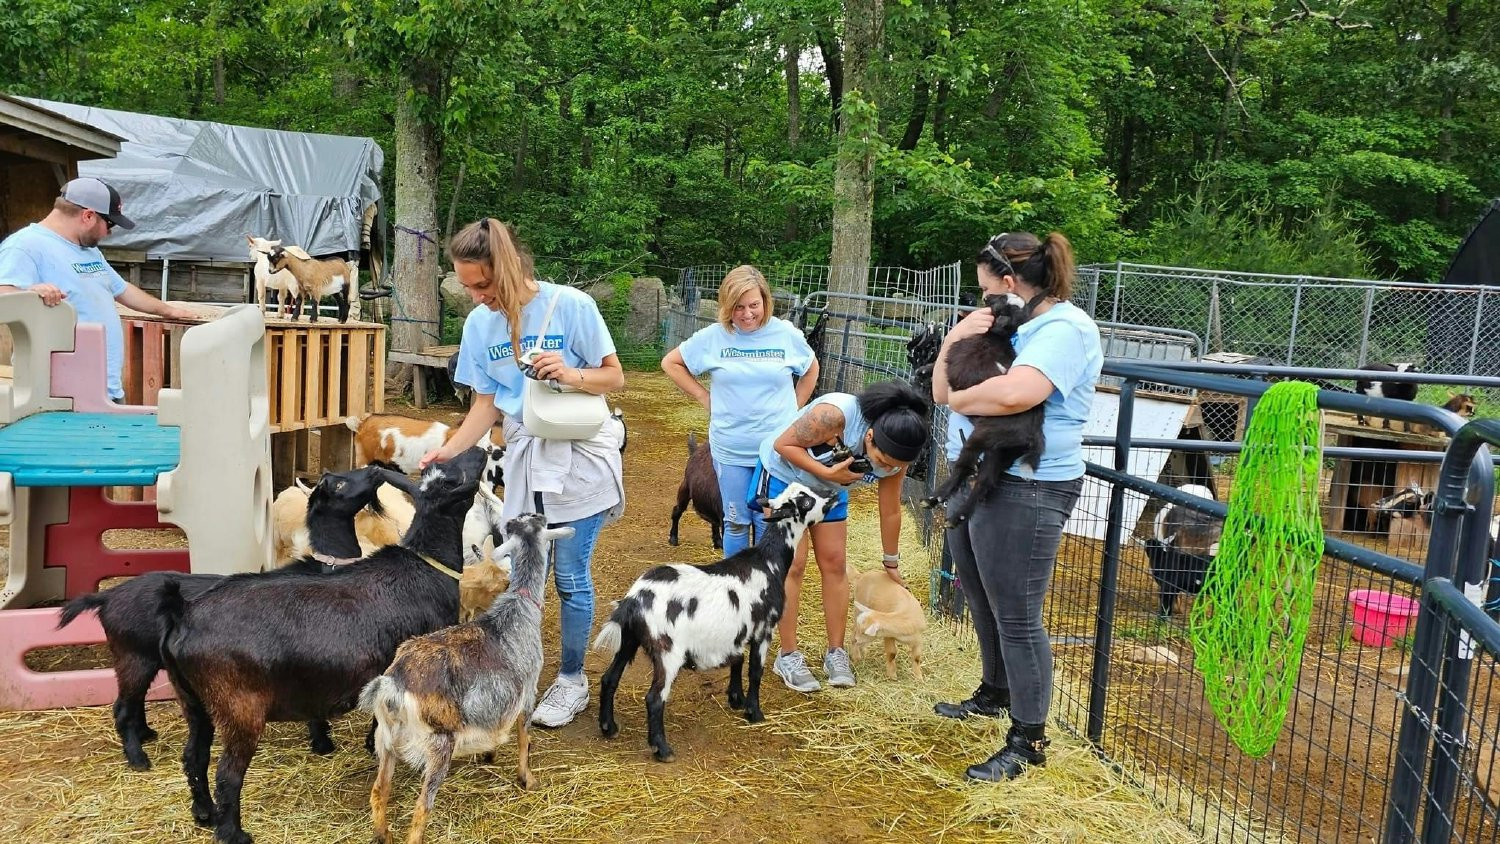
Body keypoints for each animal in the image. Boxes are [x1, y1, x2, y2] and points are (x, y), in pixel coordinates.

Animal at [57, 464, 390, 767]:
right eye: (338, 484)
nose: (374, 470)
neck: (326, 566)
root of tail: (107, 597)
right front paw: (323, 743)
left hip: (143, 658)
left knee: (133, 702)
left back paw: (146, 734)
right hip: (133, 656)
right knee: (123, 707)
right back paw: (138, 759)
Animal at [158, 449, 486, 844]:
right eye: (452, 480)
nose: (481, 451)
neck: (427, 564)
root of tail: (183, 616)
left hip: (194, 701)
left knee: (194, 757)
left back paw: (204, 812)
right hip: (239, 707)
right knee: (228, 775)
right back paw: (233, 832)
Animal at [912, 293, 1044, 524]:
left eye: (1000, 302)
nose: (987, 296)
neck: (993, 338)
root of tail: (1033, 435)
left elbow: (940, 366)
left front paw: (924, 371)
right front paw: (923, 370)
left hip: (984, 435)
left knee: (965, 467)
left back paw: (934, 499)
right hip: (1002, 452)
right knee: (985, 482)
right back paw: (957, 517)